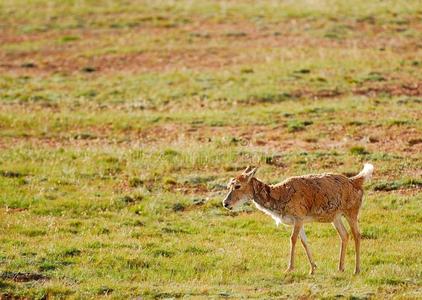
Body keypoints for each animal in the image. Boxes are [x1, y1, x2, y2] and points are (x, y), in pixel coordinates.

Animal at [223, 164, 374, 274]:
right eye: (229, 185)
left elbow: (293, 239)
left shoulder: (298, 217)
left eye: (238, 185)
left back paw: (356, 270)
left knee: (357, 235)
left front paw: (289, 268)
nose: (225, 203)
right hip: (335, 217)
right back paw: (340, 268)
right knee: (344, 235)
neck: (280, 197)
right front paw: (313, 268)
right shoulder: (299, 221)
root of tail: (356, 180)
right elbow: (304, 241)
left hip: (351, 211)